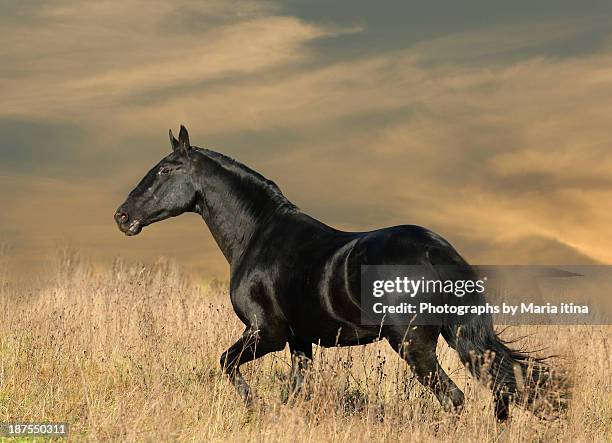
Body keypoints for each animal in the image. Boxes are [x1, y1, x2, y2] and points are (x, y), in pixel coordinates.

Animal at [113, 126, 564, 422]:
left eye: (165, 170)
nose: (123, 217)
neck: (258, 234)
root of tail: (439, 251)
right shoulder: (299, 342)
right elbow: (296, 392)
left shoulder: (267, 334)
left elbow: (228, 364)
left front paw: (255, 408)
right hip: (453, 338)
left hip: (413, 345)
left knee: (453, 397)